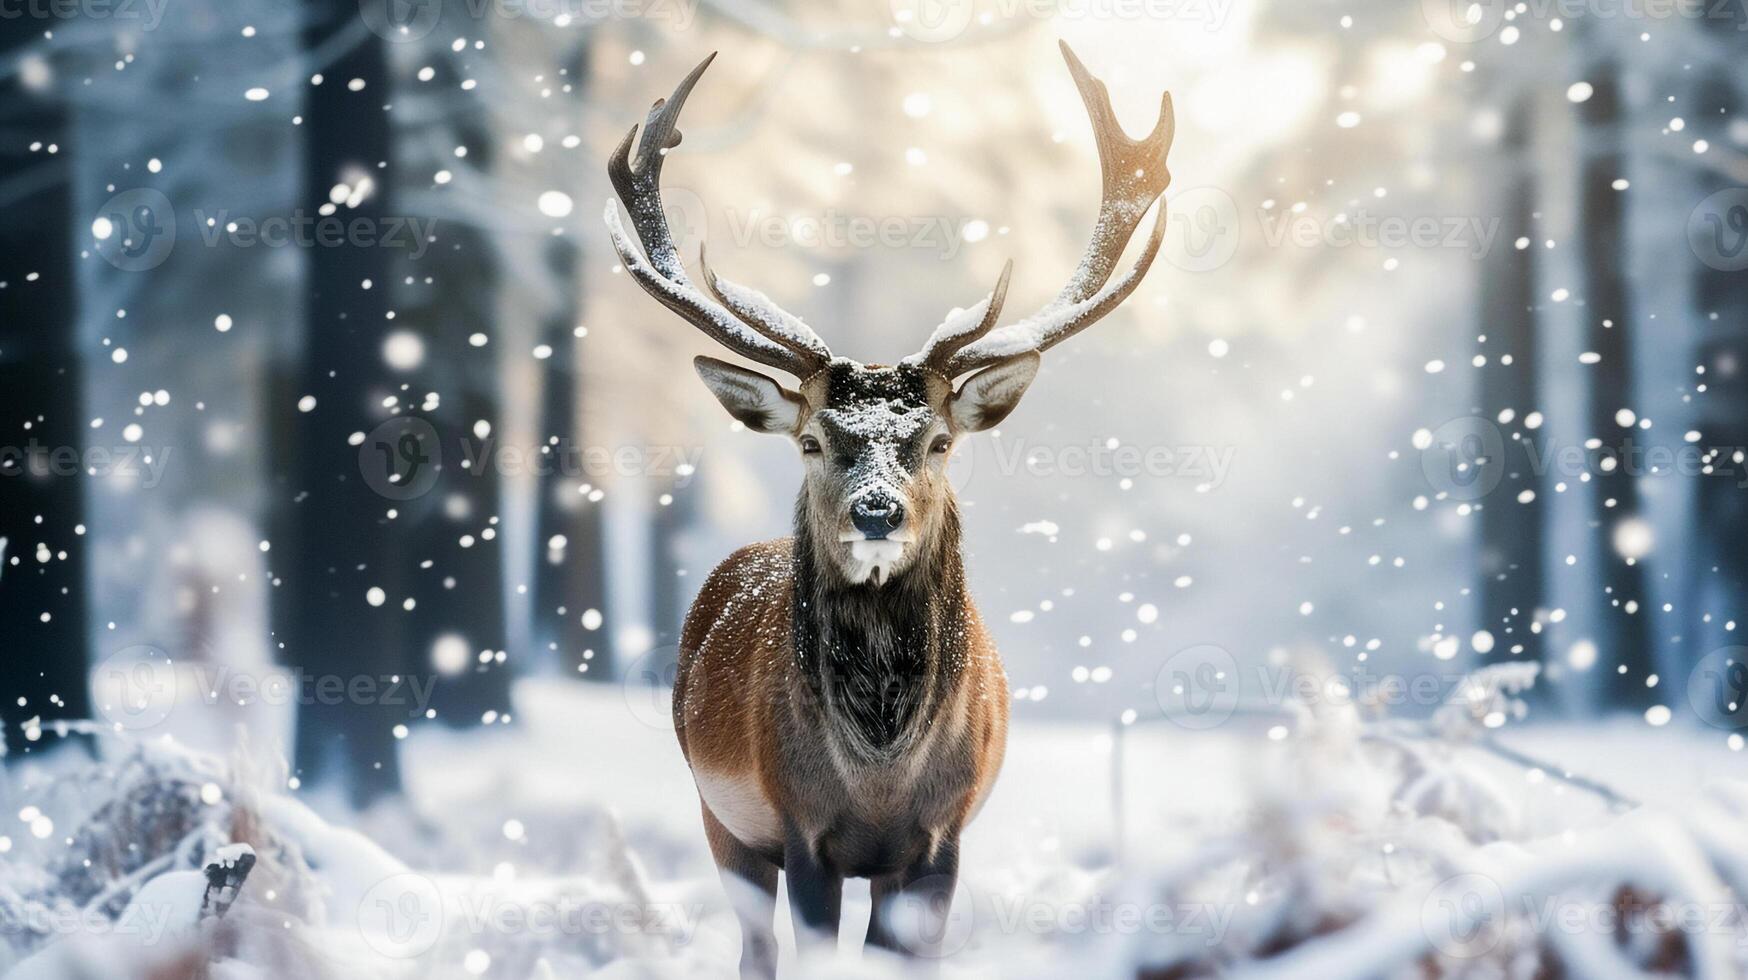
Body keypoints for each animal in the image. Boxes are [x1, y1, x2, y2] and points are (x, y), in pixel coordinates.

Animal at [604, 41, 1174, 971]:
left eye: (938, 441)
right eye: (810, 440)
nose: (877, 513)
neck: (878, 776)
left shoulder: (941, 839)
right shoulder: (801, 831)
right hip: (722, 822)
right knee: (754, 948)